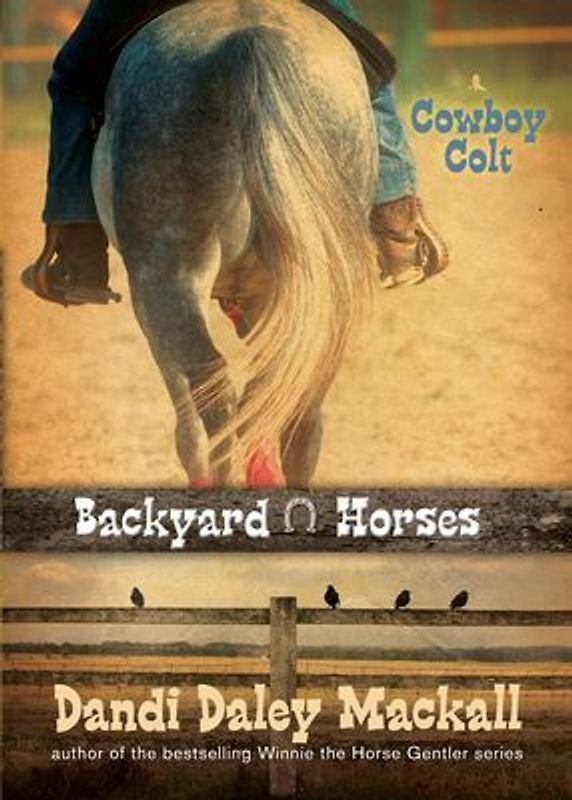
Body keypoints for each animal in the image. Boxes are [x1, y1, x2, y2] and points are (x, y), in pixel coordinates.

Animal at [92, 0, 378, 488]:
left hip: (166, 281)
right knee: (293, 406)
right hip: (318, 295)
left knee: (218, 398)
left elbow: (188, 416)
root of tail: (247, 43)